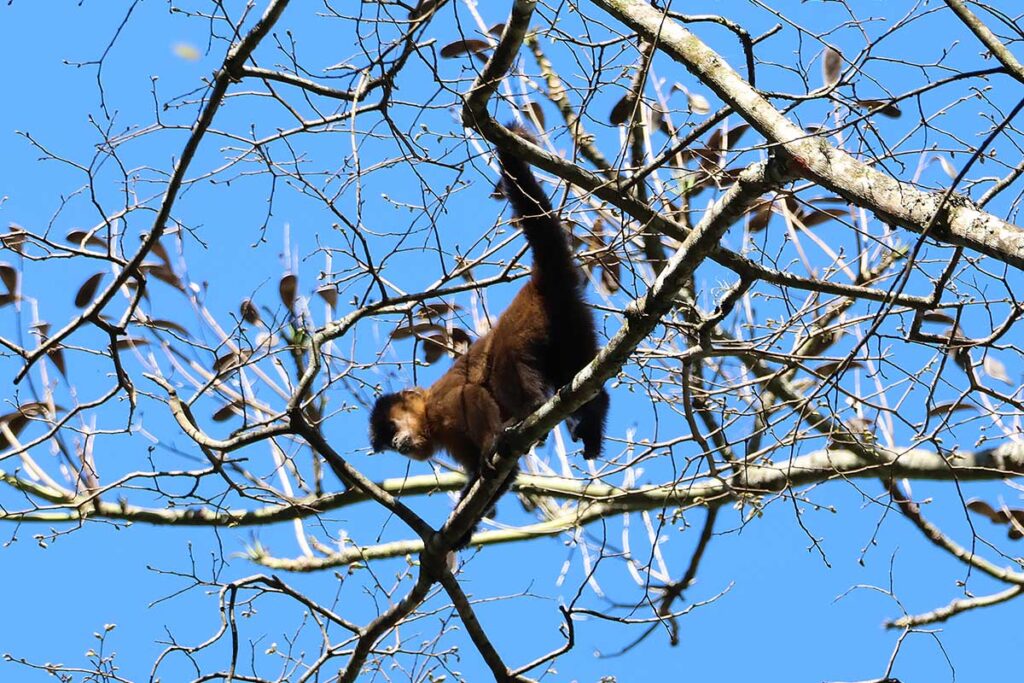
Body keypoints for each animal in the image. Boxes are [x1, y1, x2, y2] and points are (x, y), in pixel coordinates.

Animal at [368, 125, 606, 548]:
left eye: (392, 429)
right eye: (390, 444)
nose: (396, 444)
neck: (429, 414)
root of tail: (539, 285)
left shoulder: (445, 404)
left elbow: (473, 394)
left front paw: (495, 443)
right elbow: (498, 477)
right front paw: (463, 525)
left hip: (530, 324)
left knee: (507, 363)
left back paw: (529, 411)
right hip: (575, 323)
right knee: (583, 377)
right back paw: (594, 418)